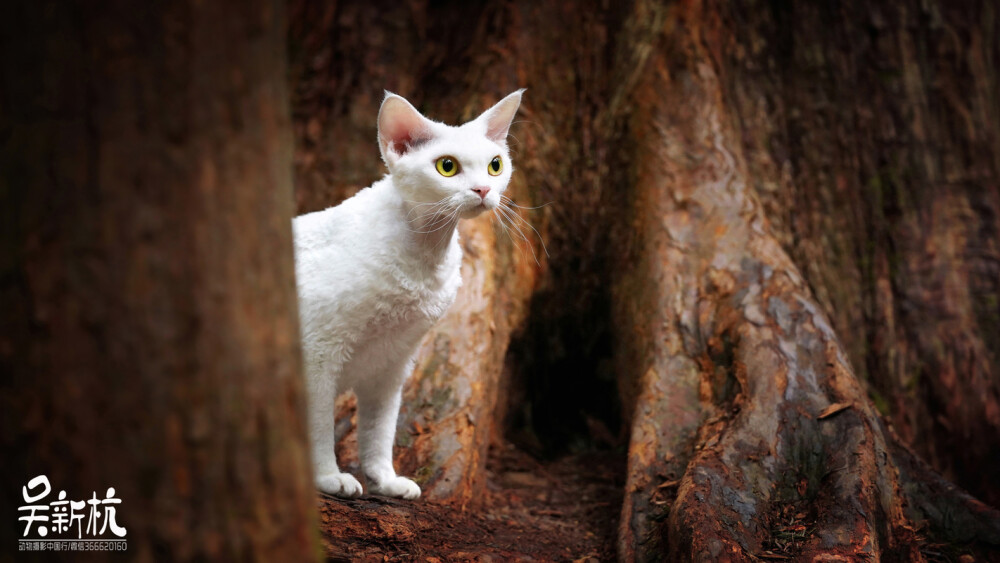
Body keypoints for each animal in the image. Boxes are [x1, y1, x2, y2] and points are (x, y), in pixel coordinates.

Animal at [292, 90, 524, 500]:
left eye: (495, 166)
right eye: (447, 166)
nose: (483, 189)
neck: (424, 254)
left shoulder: (393, 360)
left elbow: (380, 429)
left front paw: (385, 479)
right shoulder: (319, 351)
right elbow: (318, 425)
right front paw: (328, 477)